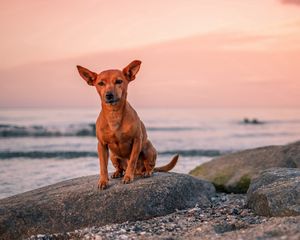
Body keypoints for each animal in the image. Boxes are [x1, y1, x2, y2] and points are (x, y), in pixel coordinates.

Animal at [77, 60, 178, 189]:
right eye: (100, 83)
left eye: (119, 81)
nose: (108, 95)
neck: (114, 114)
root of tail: (139, 171)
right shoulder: (102, 145)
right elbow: (103, 166)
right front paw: (103, 181)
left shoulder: (136, 140)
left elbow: (132, 161)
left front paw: (128, 177)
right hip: (113, 156)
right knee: (120, 167)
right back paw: (117, 173)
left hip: (148, 149)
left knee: (149, 165)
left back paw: (146, 172)